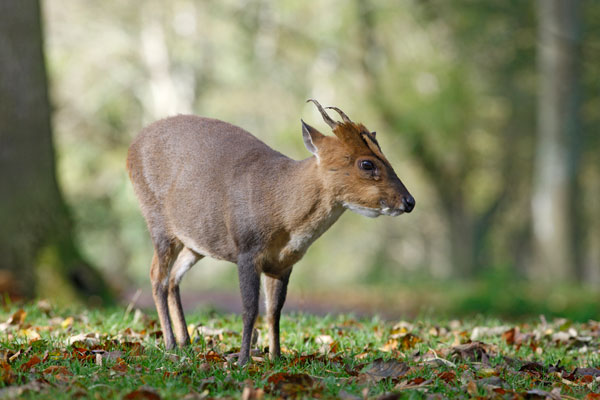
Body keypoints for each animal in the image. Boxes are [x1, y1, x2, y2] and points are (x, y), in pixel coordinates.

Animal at [127, 100, 412, 366]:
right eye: (367, 163)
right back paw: (170, 344)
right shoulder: (246, 250)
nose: (409, 201)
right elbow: (249, 308)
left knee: (174, 278)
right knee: (157, 277)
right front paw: (243, 360)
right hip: (158, 222)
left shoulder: (283, 263)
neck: (281, 209)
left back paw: (185, 342)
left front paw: (276, 357)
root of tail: (131, 147)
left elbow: (274, 310)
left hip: (195, 243)